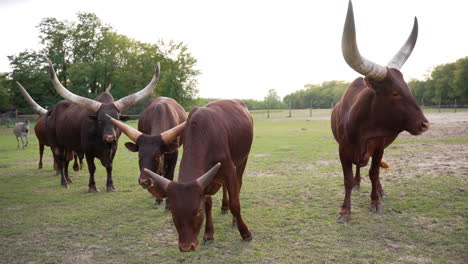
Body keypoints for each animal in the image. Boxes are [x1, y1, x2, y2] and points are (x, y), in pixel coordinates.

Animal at [143, 99, 254, 252]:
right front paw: (209, 234)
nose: (186, 246)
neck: (204, 134)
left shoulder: (229, 168)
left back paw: (234, 219)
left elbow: (235, 203)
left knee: (238, 185)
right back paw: (224, 207)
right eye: (173, 214)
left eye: (197, 212)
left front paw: (245, 232)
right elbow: (208, 203)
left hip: (243, 159)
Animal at [332, 1, 428, 222]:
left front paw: (375, 201)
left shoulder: (378, 147)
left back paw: (380, 191)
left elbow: (374, 173)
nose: (424, 124)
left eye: (409, 89)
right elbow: (347, 179)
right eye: (395, 93)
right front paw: (345, 210)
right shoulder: (343, 150)